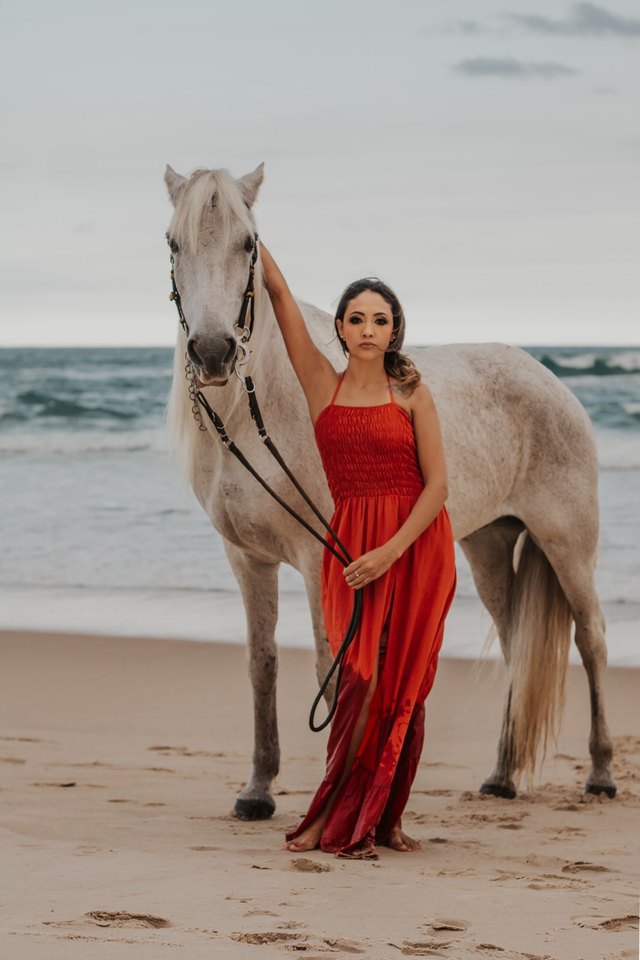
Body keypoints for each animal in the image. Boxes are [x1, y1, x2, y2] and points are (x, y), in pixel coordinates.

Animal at [164, 159, 616, 816]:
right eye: (175, 243)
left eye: (248, 243)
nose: (214, 351)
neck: (260, 409)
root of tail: (551, 379)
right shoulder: (247, 559)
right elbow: (262, 664)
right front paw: (258, 790)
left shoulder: (321, 557)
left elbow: (331, 663)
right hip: (488, 545)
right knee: (517, 645)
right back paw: (502, 776)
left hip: (568, 544)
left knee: (592, 639)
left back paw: (602, 774)